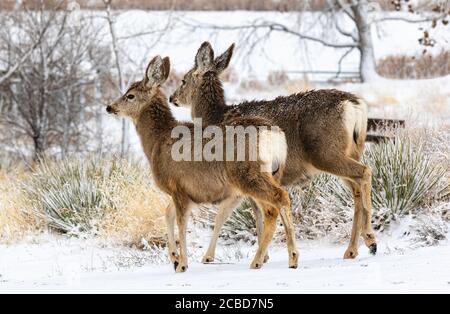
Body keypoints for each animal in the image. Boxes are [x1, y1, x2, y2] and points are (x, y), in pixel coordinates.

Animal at [106, 55, 298, 272]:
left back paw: (264, 260)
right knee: (276, 204)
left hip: (247, 174)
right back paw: (287, 258)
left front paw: (182, 264)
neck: (157, 141)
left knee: (276, 201)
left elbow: (181, 224)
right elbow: (167, 214)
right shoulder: (185, 191)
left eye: (130, 95)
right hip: (271, 173)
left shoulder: (177, 186)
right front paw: (174, 258)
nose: (109, 107)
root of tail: (274, 135)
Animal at [171, 42, 378, 262]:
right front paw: (264, 254)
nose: (172, 97)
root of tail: (355, 105)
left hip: (327, 152)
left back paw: (370, 238)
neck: (216, 117)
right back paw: (353, 249)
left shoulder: (239, 177)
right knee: (357, 187)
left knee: (364, 172)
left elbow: (227, 214)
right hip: (350, 151)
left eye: (183, 80)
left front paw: (211, 257)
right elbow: (254, 212)